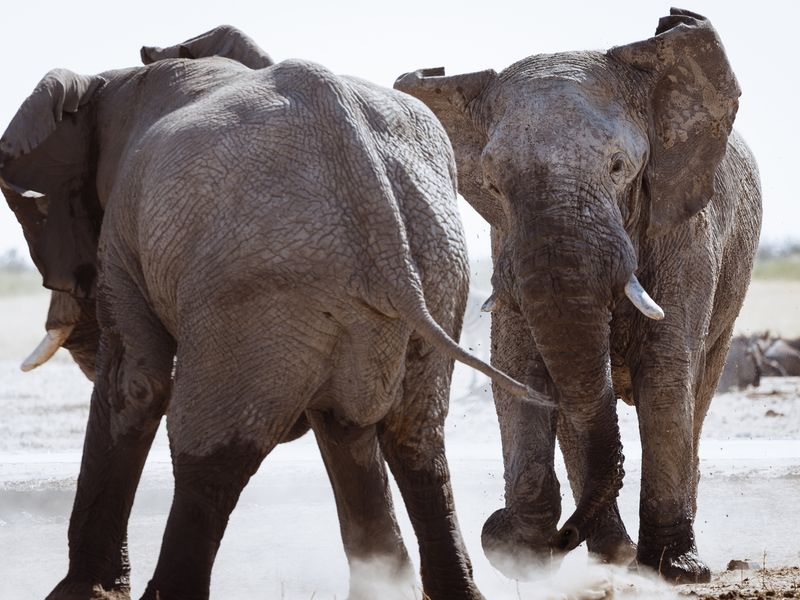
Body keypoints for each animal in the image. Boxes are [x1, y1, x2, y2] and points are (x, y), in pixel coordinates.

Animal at [2, 26, 537, 600]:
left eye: (35, 214)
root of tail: (364, 177)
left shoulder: (123, 230)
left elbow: (134, 385)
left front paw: (80, 593)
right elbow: (342, 425)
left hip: (256, 287)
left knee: (211, 458)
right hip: (432, 269)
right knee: (409, 441)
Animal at [396, 8, 762, 583]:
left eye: (617, 167)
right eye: (493, 184)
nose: (495, 525)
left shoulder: (688, 232)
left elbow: (665, 369)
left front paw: (675, 570)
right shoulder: (509, 241)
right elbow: (522, 366)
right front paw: (522, 548)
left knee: (698, 390)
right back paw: (611, 554)